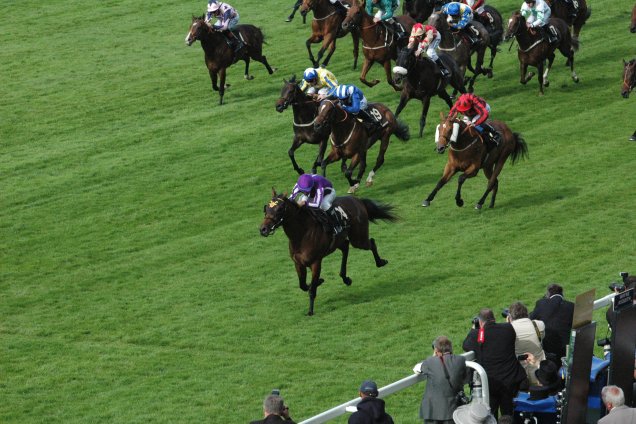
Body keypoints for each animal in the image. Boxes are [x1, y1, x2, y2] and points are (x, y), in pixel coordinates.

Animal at [260, 190, 396, 314]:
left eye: (279, 209)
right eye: (266, 208)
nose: (263, 229)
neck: (302, 234)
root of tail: (357, 200)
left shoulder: (316, 262)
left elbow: (311, 289)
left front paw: (310, 311)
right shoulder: (298, 263)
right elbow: (303, 285)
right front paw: (319, 282)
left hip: (358, 238)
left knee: (371, 242)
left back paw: (380, 262)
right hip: (340, 241)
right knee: (346, 246)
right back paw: (345, 278)